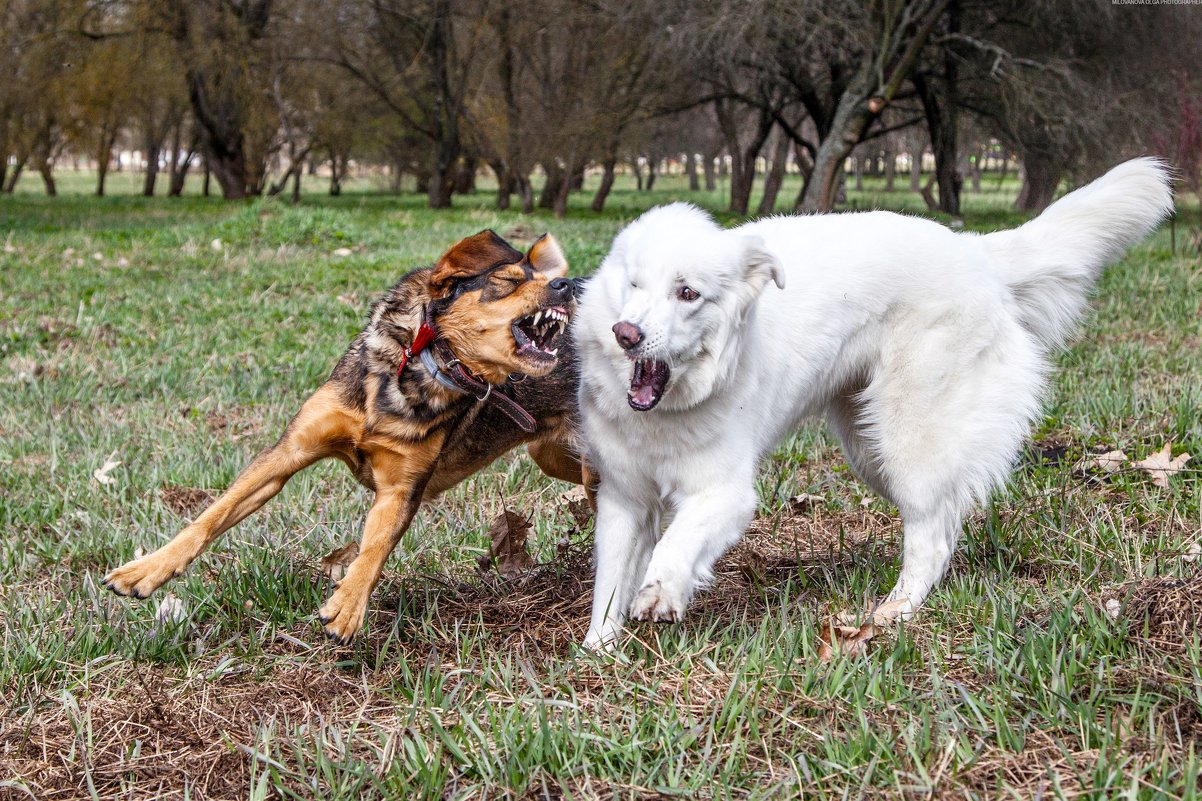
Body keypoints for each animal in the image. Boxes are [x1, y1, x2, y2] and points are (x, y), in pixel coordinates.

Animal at [104, 227, 591, 639]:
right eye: (507, 281)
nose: (565, 286)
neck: (421, 364)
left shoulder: (401, 489)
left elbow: (373, 550)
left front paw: (349, 605)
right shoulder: (287, 452)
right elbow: (211, 515)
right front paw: (147, 569)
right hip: (553, 456)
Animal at [576, 157, 1168, 649]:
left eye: (688, 293)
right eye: (633, 285)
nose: (626, 334)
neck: (668, 408)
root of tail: (976, 250)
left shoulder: (724, 493)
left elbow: (676, 544)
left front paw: (661, 591)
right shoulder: (624, 499)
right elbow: (611, 582)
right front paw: (598, 651)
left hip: (907, 438)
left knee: (930, 536)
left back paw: (894, 613)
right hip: (871, 451)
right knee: (945, 521)